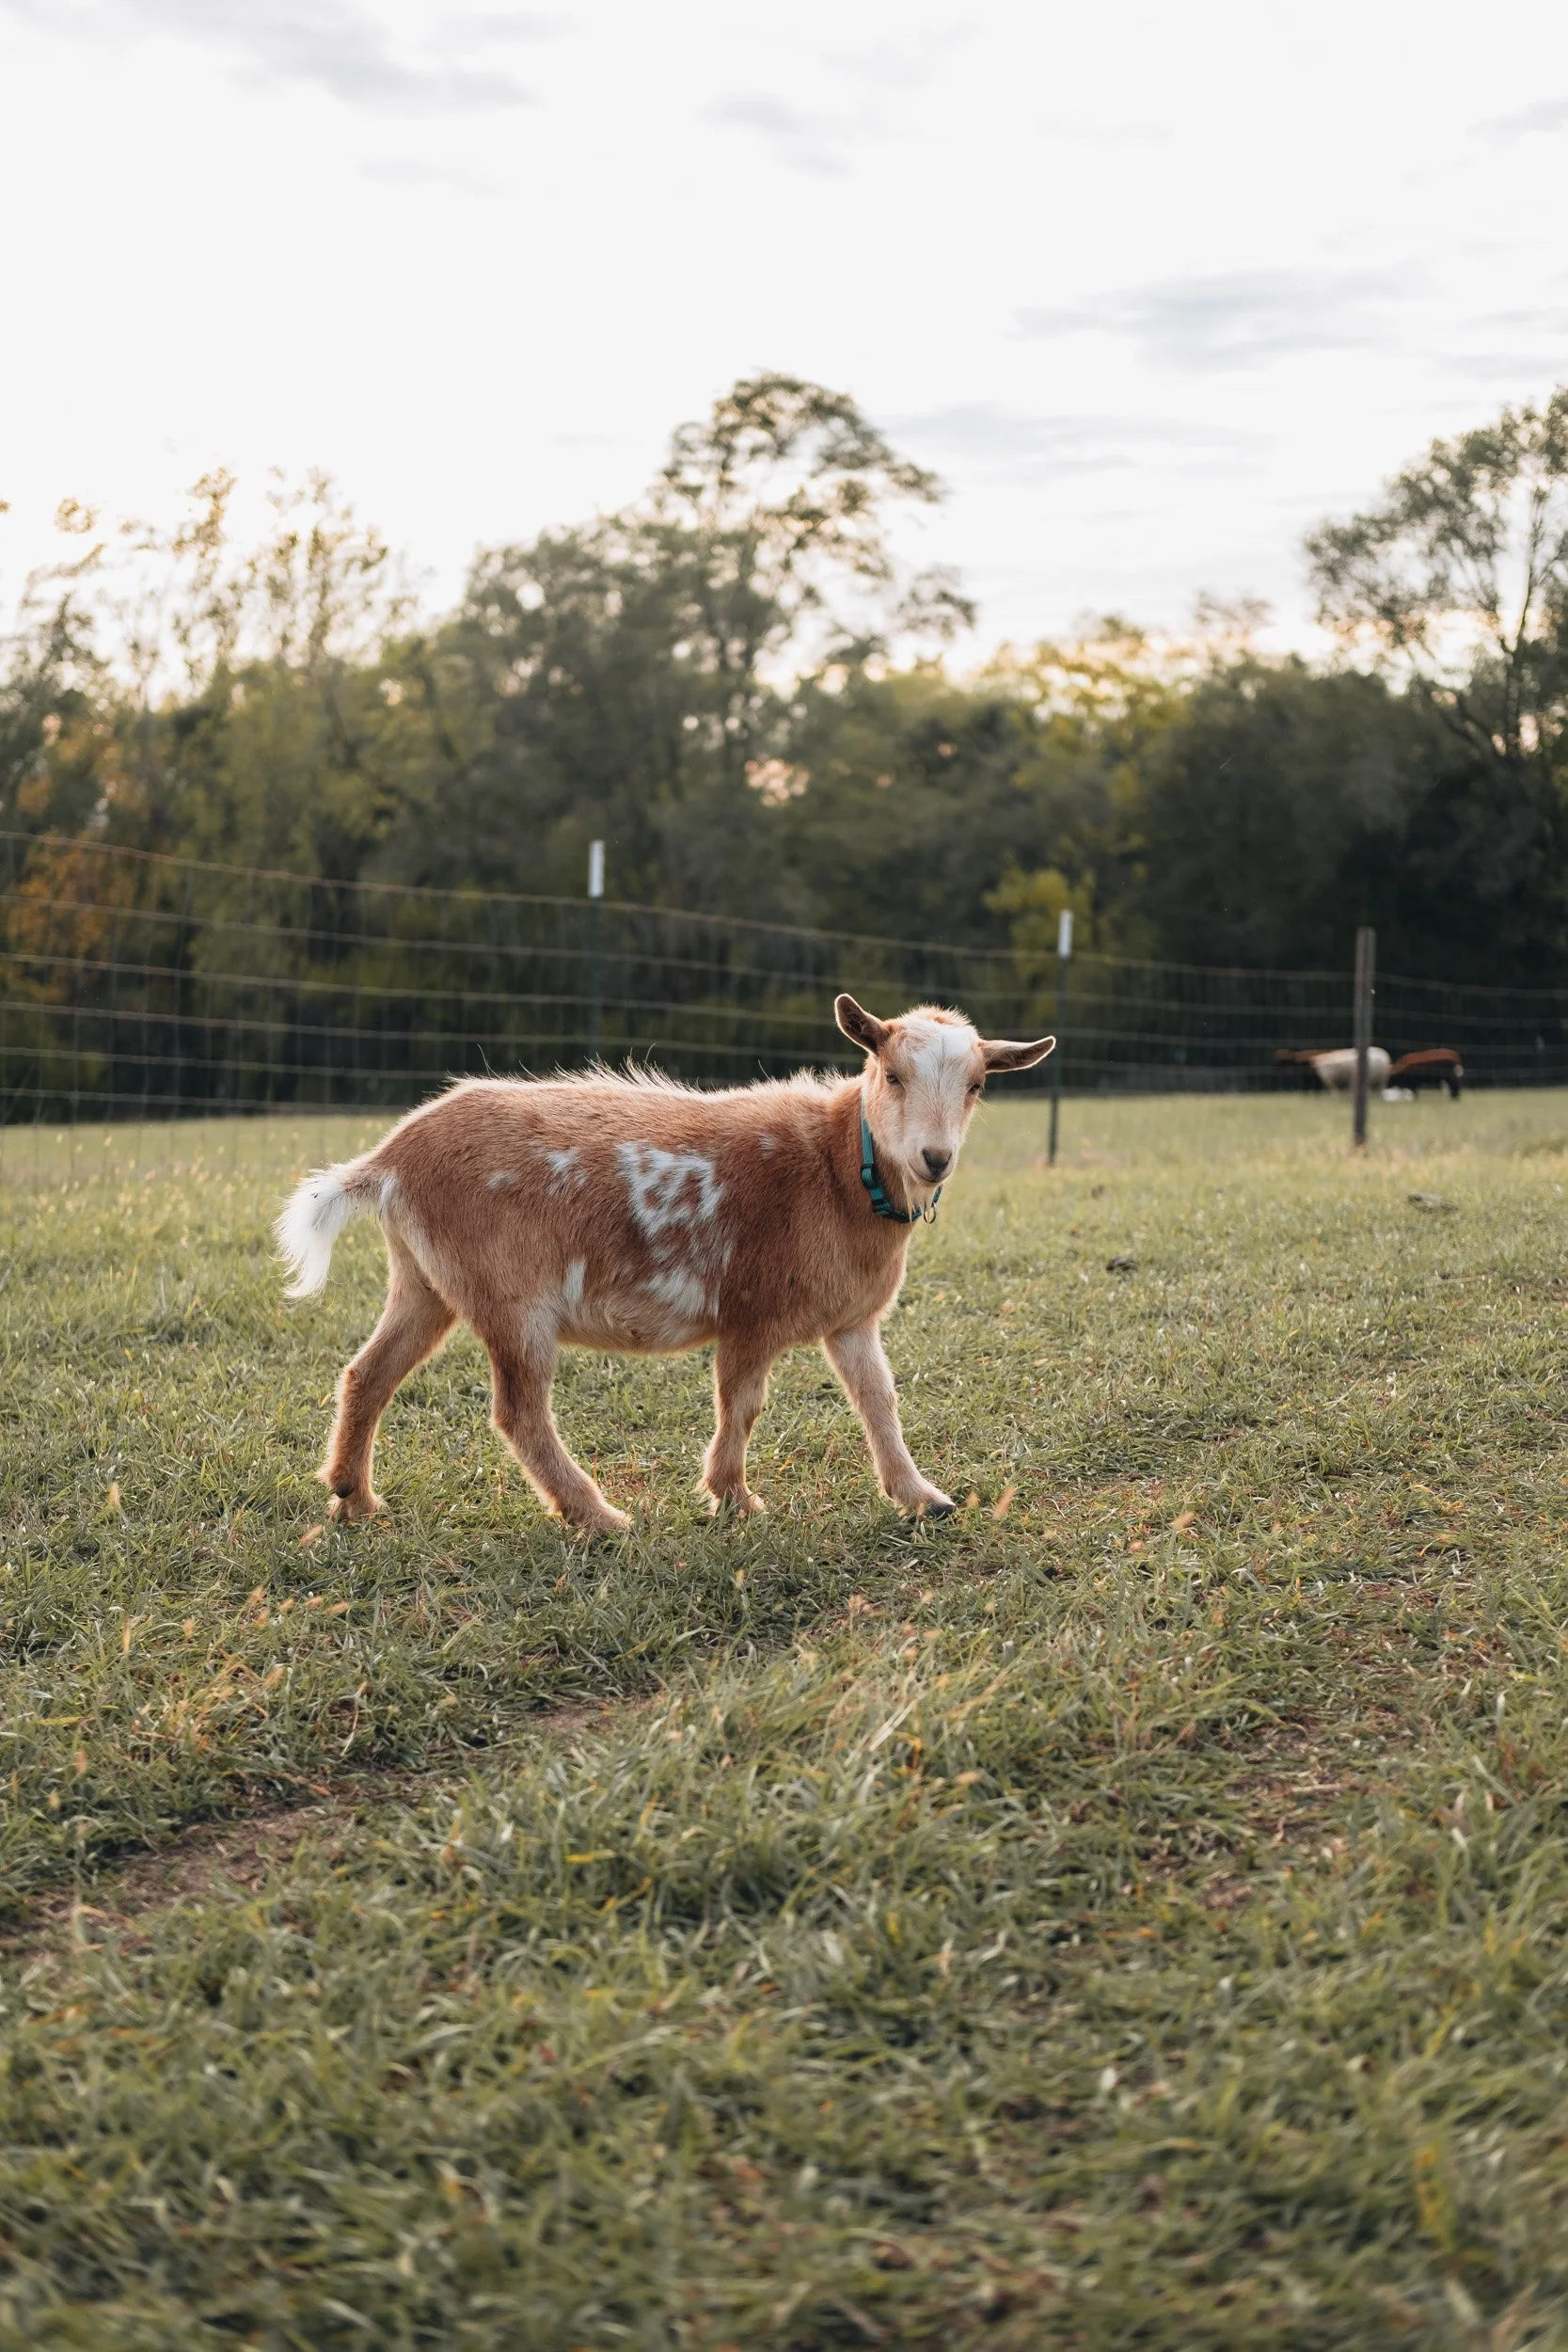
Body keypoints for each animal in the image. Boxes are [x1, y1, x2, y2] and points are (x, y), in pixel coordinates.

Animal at [276, 998, 1055, 1536]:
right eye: (891, 1075)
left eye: (977, 1085)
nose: (934, 1158)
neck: (836, 1166)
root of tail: (390, 1159)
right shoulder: (752, 1310)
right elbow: (742, 1403)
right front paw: (733, 1497)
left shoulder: (851, 1319)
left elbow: (879, 1401)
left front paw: (921, 1497)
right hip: (509, 1295)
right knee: (518, 1410)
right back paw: (597, 1516)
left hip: (426, 1280)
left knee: (368, 1374)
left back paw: (352, 1496)